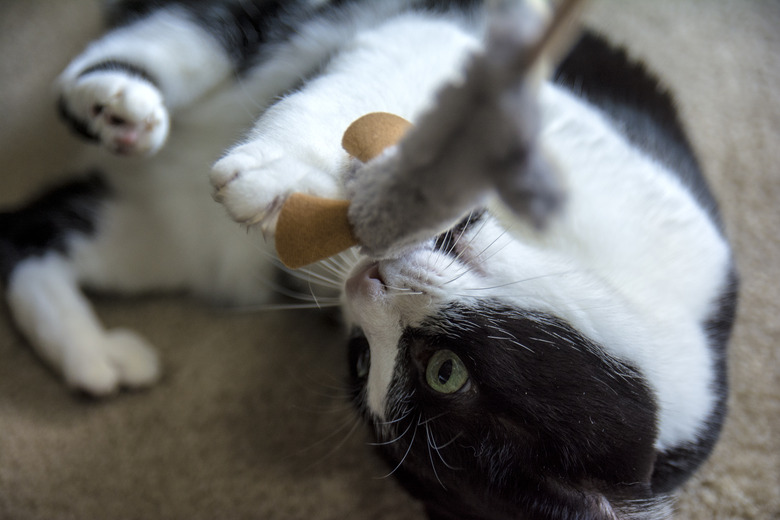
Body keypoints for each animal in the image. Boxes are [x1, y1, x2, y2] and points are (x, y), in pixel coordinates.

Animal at [3, 0, 736, 516]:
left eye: (437, 371)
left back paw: (93, 355)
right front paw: (282, 171)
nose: (365, 280)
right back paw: (115, 102)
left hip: (170, 242)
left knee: (28, 236)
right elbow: (384, 82)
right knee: (184, 34)